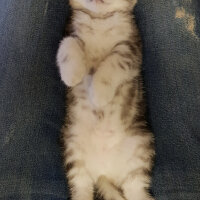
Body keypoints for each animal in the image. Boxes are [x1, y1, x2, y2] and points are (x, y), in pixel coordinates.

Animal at [56, 0, 155, 200]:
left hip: (141, 145)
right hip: (72, 148)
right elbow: (67, 43)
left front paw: (100, 92)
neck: (99, 19)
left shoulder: (132, 46)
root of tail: (104, 172)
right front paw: (71, 74)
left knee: (134, 187)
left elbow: (117, 59)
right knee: (81, 186)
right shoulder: (69, 30)